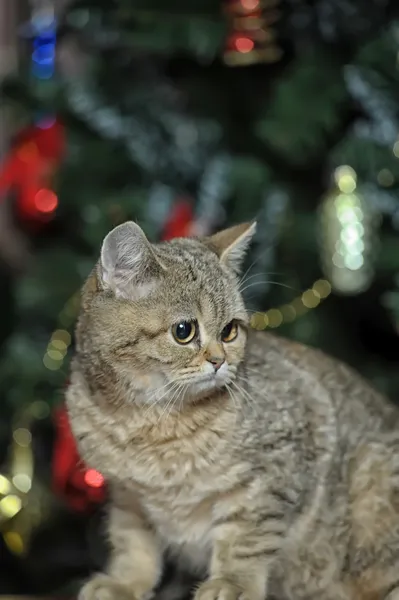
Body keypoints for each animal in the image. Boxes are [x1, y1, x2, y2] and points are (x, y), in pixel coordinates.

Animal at [67, 220, 399, 600]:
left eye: (230, 331)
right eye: (184, 330)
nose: (218, 361)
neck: (146, 421)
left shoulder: (272, 470)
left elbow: (246, 538)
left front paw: (233, 583)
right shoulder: (128, 496)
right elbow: (131, 541)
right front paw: (125, 581)